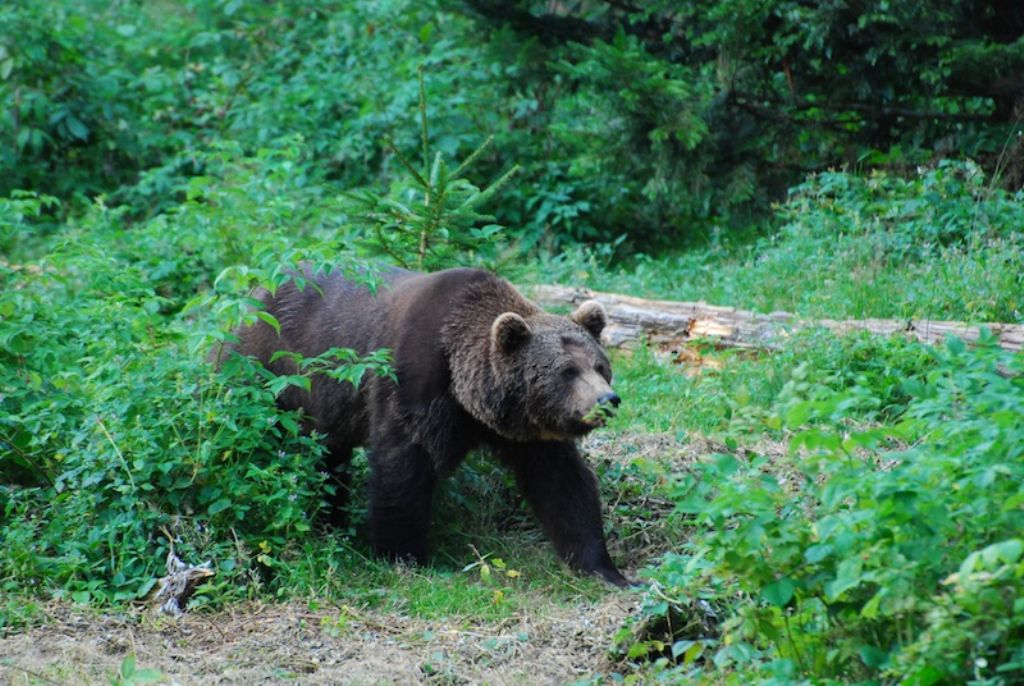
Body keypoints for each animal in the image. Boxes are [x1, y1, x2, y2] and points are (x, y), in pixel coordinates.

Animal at [231, 266, 626, 589]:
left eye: (599, 366)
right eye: (567, 371)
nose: (608, 400)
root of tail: (256, 288)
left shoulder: (527, 430)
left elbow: (563, 484)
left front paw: (606, 570)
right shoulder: (413, 381)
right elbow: (403, 466)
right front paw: (403, 555)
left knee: (328, 461)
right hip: (270, 370)